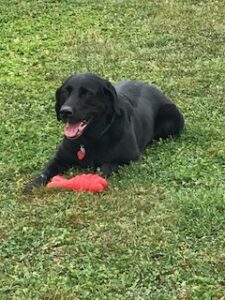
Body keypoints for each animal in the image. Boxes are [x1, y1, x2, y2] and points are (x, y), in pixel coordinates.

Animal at [23, 72, 184, 192]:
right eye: (65, 92)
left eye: (87, 93)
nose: (65, 112)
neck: (88, 140)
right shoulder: (60, 157)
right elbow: (46, 170)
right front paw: (33, 184)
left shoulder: (129, 157)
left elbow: (106, 166)